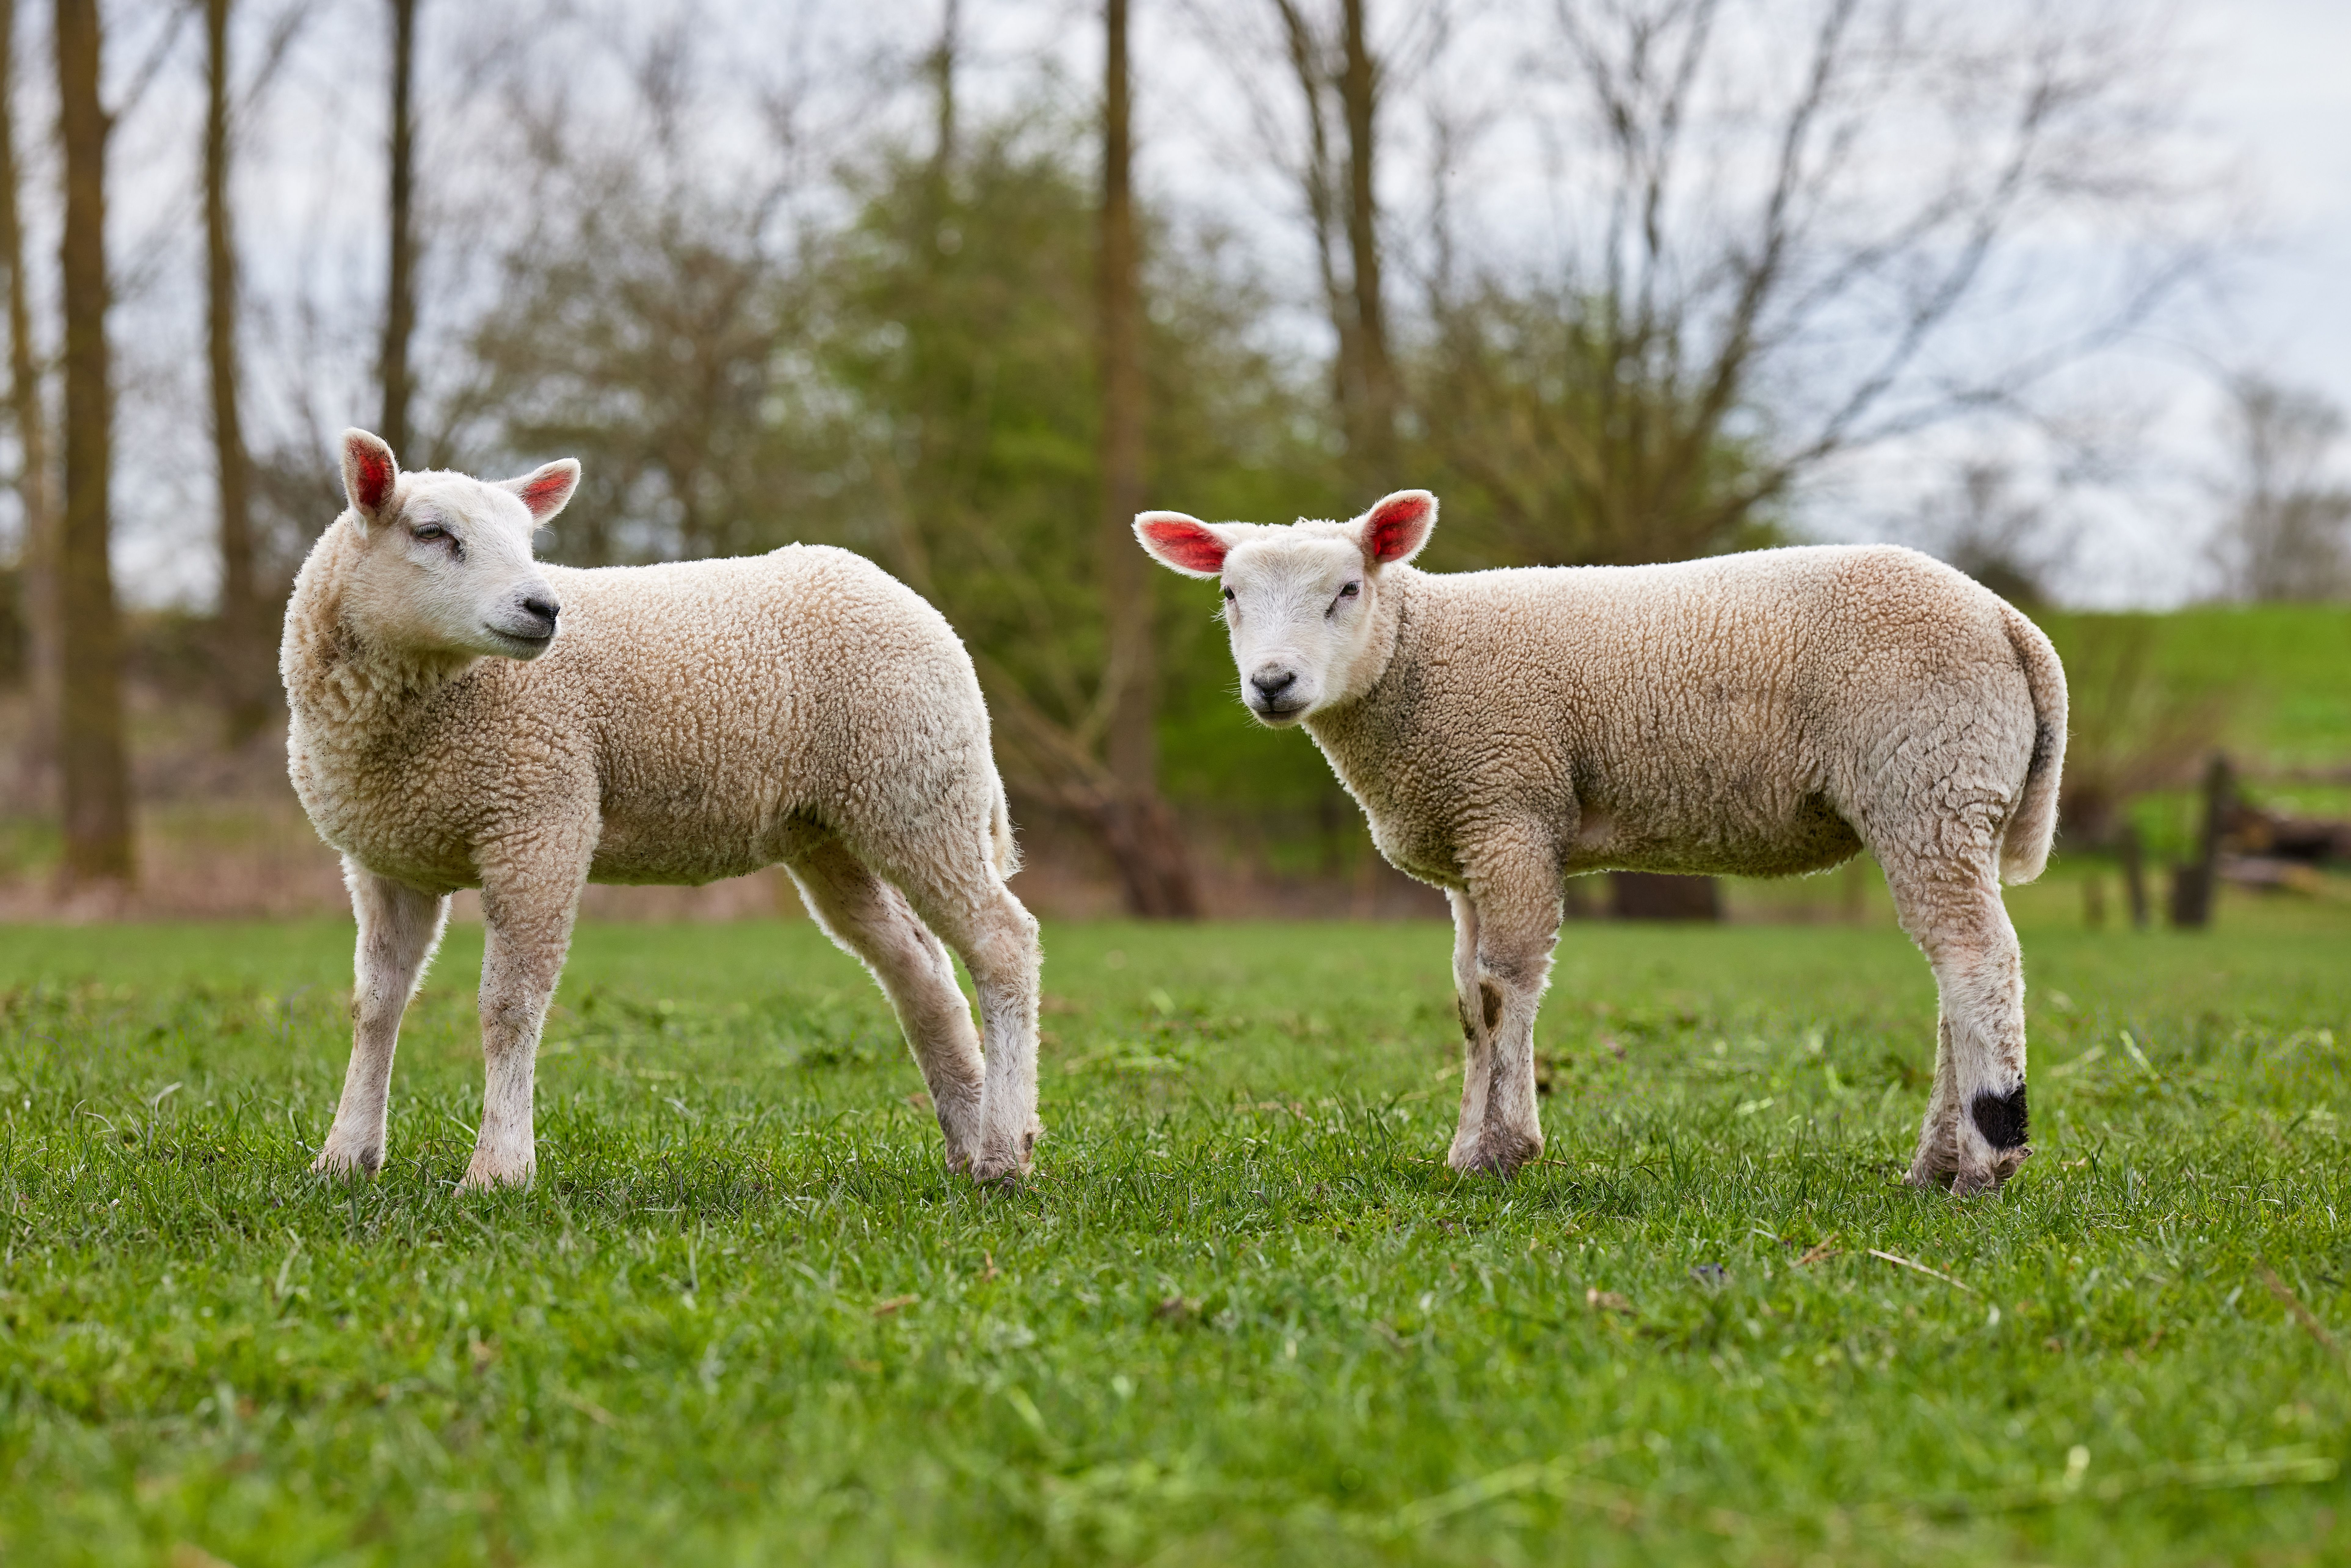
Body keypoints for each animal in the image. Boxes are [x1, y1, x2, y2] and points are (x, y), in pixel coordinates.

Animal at [283, 429, 1042, 1190]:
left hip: (920, 788)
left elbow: (509, 1007)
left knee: (1003, 943)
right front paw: (344, 1157)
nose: (544, 609)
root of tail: (917, 607)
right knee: (920, 970)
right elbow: (375, 1006)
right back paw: (967, 1137)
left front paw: (499, 1171)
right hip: (836, 828)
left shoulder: (542, 819)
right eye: (432, 534)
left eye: (530, 541)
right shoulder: (385, 861)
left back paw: (1004, 1152)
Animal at [1135, 490, 2066, 1196]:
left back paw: (1985, 1163)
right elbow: (1467, 1000)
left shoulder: (1508, 809)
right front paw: (1466, 1149)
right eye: (1229, 595)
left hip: (1927, 779)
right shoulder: (1467, 840)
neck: (1417, 659)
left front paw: (1502, 1153)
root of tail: (2007, 622)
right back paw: (1934, 1165)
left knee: (1978, 959)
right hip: (1942, 800)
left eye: (1348, 589)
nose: (1272, 683)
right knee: (1952, 973)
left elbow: (1504, 988)